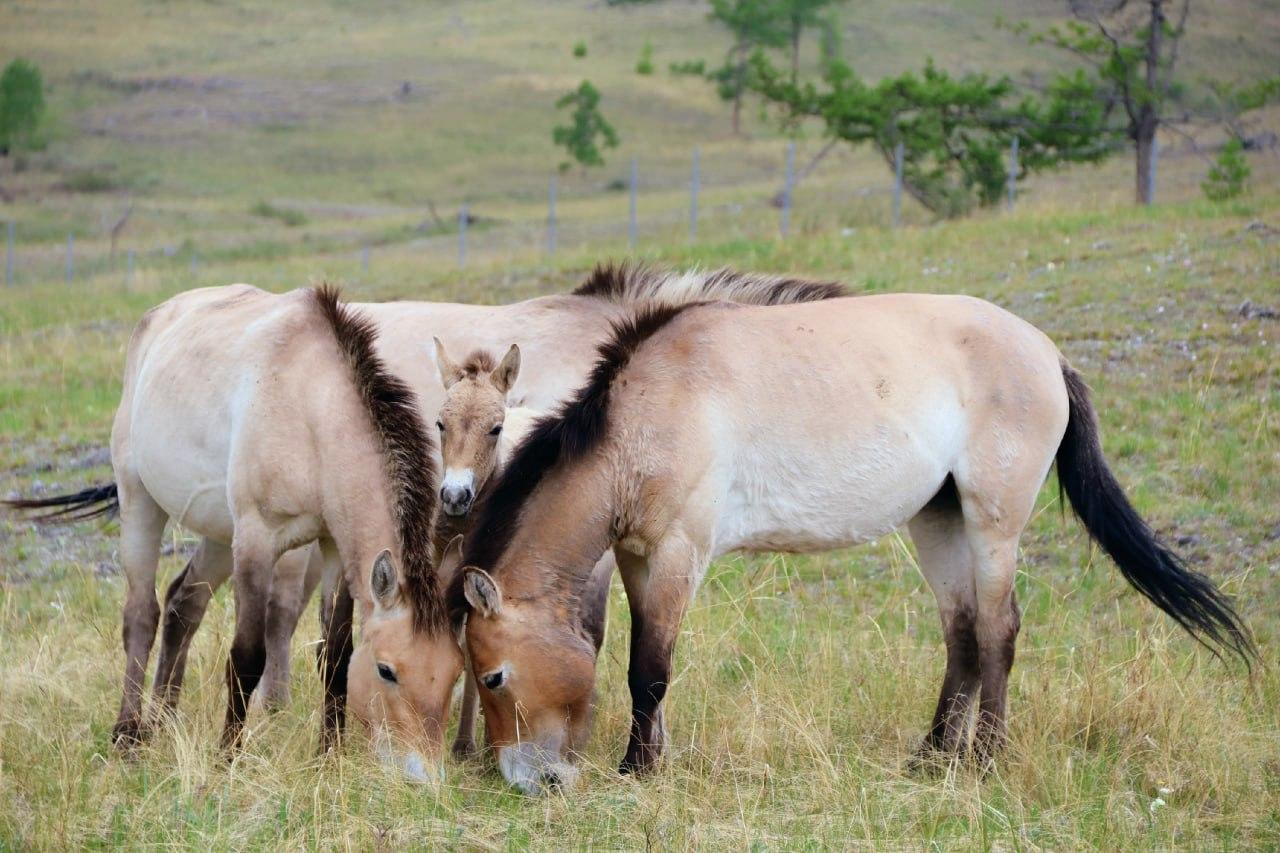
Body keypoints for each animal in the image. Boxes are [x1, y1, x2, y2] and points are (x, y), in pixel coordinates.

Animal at [449, 284, 1256, 795]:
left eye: (493, 676)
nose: (524, 782)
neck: (645, 416)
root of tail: (1047, 352)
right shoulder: (638, 556)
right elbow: (639, 663)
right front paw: (653, 759)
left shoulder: (680, 551)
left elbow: (649, 670)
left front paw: (638, 772)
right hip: (939, 520)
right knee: (963, 633)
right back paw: (931, 759)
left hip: (992, 524)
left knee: (999, 631)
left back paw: (986, 760)